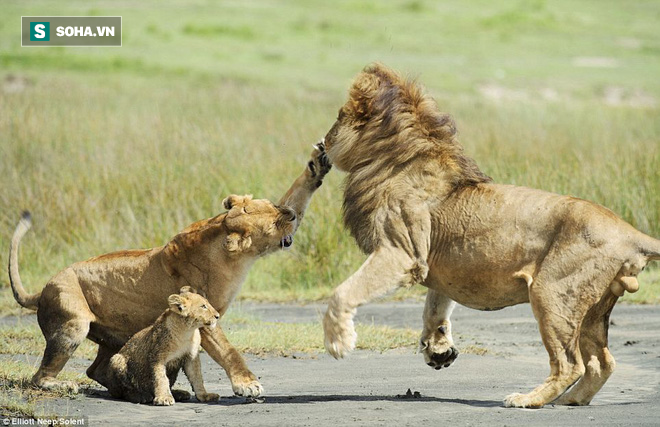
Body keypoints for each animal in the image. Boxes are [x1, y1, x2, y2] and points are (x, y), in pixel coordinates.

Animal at [9, 146, 330, 398]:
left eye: (275, 206)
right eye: (275, 223)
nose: (290, 215)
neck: (229, 251)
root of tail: (42, 289)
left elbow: (299, 192)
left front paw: (318, 164)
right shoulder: (204, 317)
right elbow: (228, 350)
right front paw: (247, 384)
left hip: (113, 338)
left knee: (96, 370)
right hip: (72, 326)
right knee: (40, 377)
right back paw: (64, 386)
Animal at [320, 62, 660, 408]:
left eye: (338, 116)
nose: (323, 143)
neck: (395, 159)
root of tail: (629, 231)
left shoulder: (402, 253)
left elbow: (341, 293)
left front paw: (338, 342)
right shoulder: (438, 265)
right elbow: (434, 307)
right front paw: (439, 348)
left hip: (551, 292)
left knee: (569, 364)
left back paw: (528, 399)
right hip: (593, 308)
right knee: (602, 363)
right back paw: (570, 400)